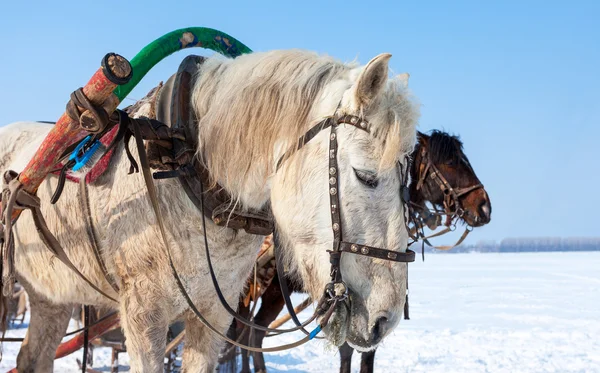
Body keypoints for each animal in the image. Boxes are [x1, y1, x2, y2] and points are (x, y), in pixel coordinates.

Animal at [0, 48, 420, 370]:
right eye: (365, 176)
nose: (386, 319)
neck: (185, 162)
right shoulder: (142, 315)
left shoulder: (215, 312)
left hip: (51, 298)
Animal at [218, 129, 490, 372]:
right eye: (452, 162)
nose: (485, 207)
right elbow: (348, 349)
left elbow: (368, 354)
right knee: (246, 332)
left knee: (251, 332)